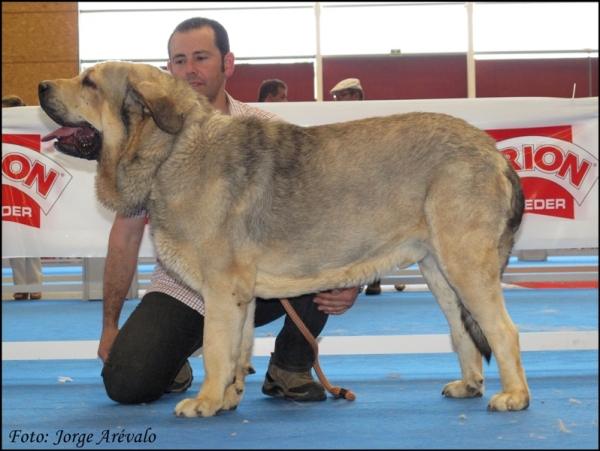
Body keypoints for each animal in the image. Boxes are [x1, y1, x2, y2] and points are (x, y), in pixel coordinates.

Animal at [38, 61, 528, 418]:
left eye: (89, 82)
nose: (41, 85)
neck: (171, 152)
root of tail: (492, 150)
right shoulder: (241, 296)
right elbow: (236, 350)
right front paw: (228, 398)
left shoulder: (222, 288)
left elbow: (214, 348)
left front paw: (205, 402)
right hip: (439, 271)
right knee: (462, 328)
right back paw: (469, 385)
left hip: (464, 263)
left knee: (503, 329)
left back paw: (515, 396)